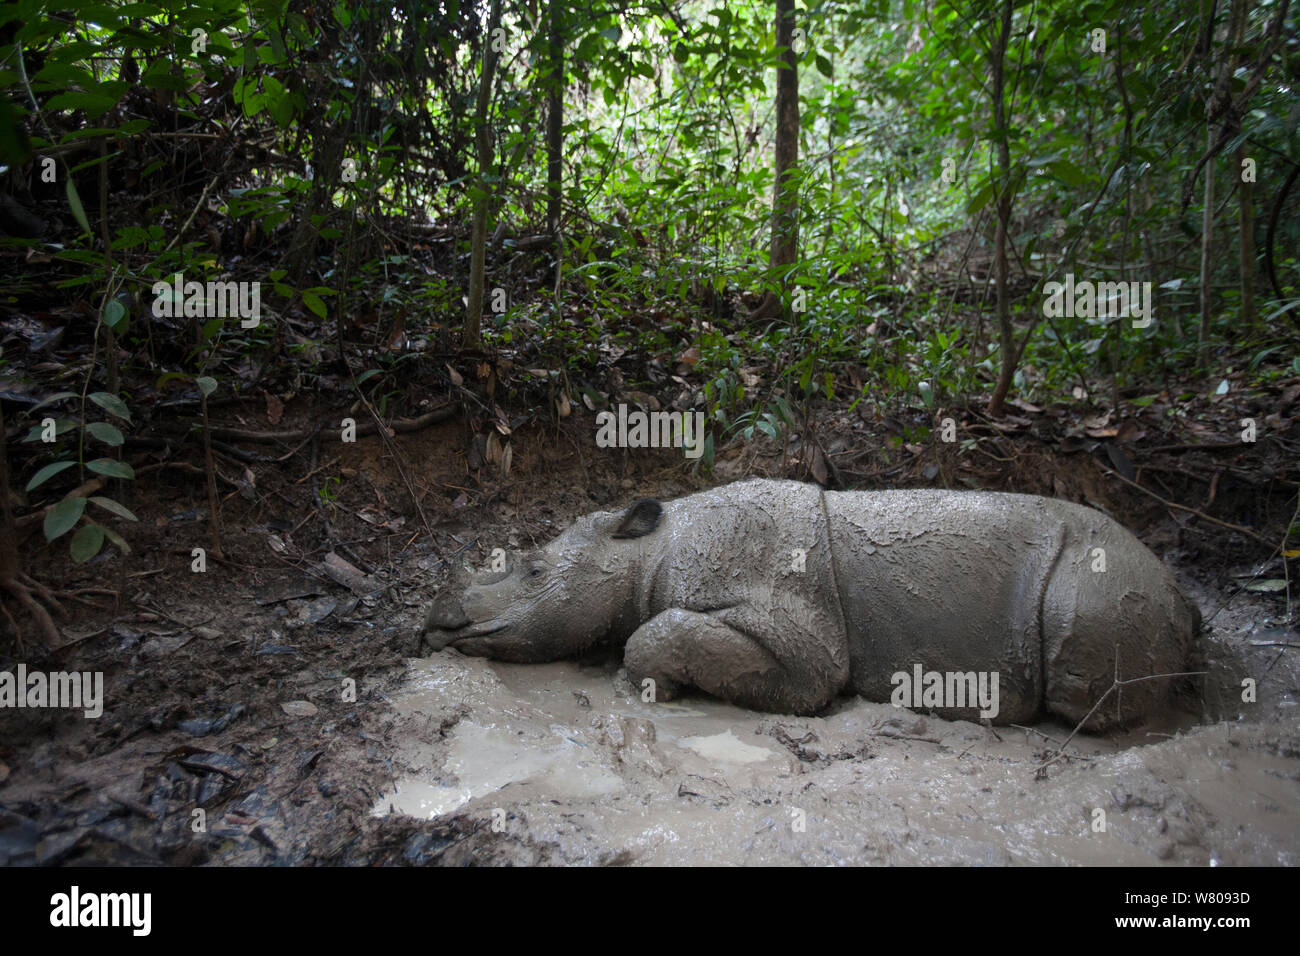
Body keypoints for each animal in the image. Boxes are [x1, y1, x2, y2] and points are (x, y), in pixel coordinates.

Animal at [423, 481, 1196, 728]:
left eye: (533, 570)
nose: (438, 621)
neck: (650, 548)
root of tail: (1184, 597)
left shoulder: (798, 633)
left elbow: (659, 634)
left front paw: (645, 683)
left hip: (1102, 579)